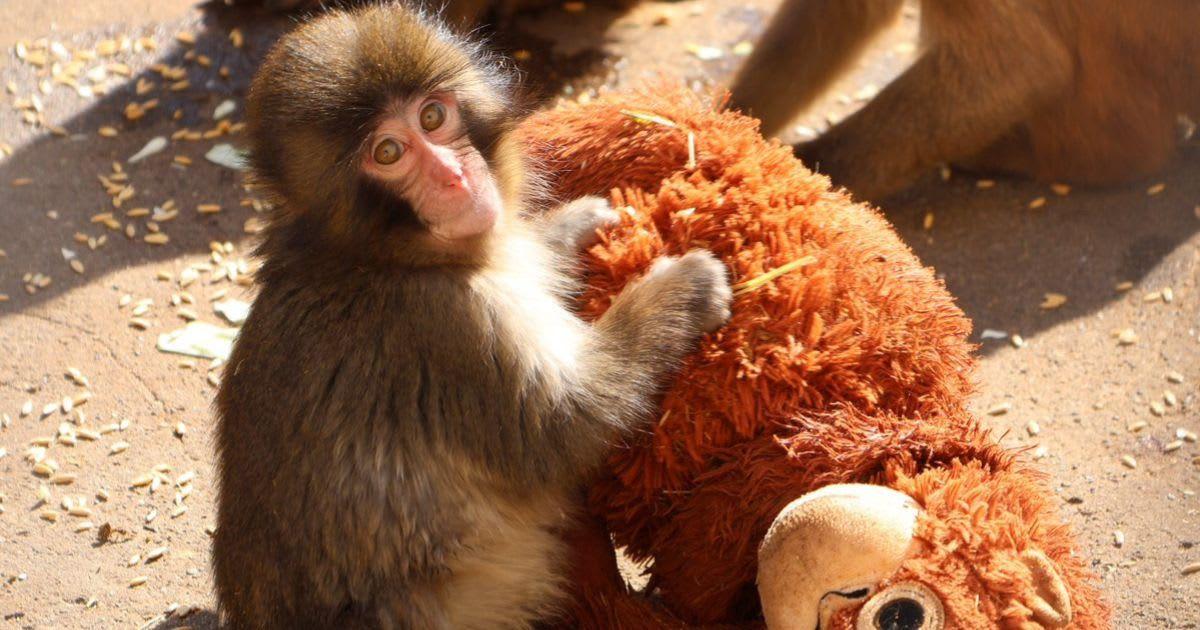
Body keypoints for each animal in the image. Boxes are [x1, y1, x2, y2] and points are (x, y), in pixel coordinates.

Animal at [211, 4, 732, 629]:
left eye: (433, 116)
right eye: (388, 153)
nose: (453, 177)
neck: (376, 257)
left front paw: (572, 226)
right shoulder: (448, 326)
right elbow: (566, 426)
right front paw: (681, 289)